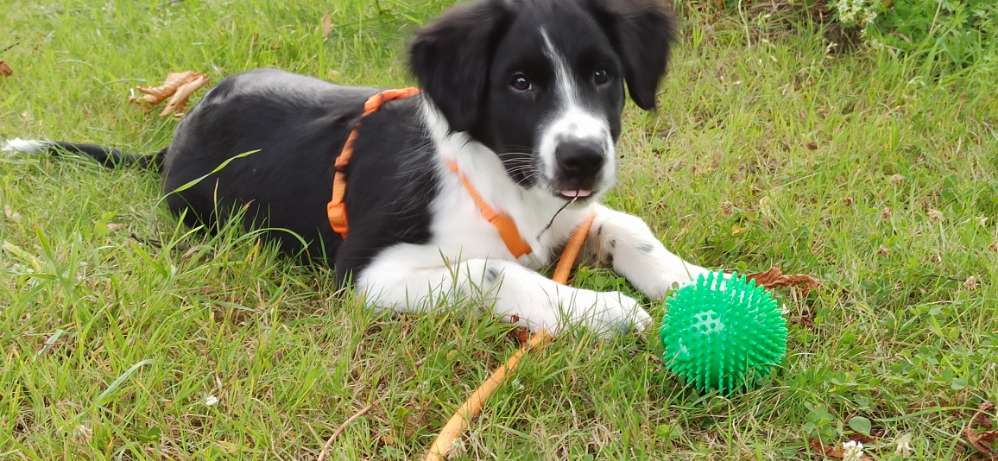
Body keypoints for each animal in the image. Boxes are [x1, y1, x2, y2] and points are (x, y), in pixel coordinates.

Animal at [3, 0, 716, 332]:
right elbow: (490, 271)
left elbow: (626, 226)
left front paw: (698, 282)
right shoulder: (367, 272)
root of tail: (179, 130)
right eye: (520, 83)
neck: (497, 174)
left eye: (602, 76)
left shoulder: (561, 213)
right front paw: (604, 312)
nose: (583, 161)